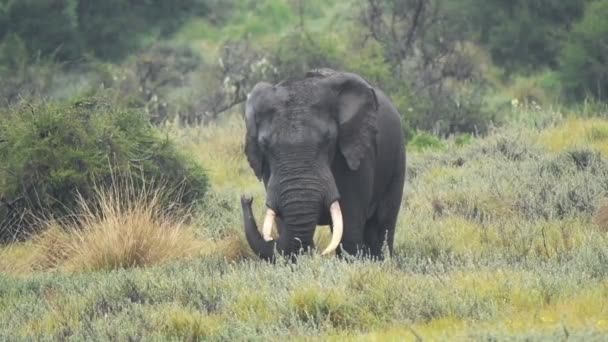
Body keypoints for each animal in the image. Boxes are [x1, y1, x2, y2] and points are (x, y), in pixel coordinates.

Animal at [240, 69, 406, 262]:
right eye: (264, 145)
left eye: (328, 139)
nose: (246, 198)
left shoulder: (355, 154)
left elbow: (348, 225)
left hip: (397, 156)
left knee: (382, 223)